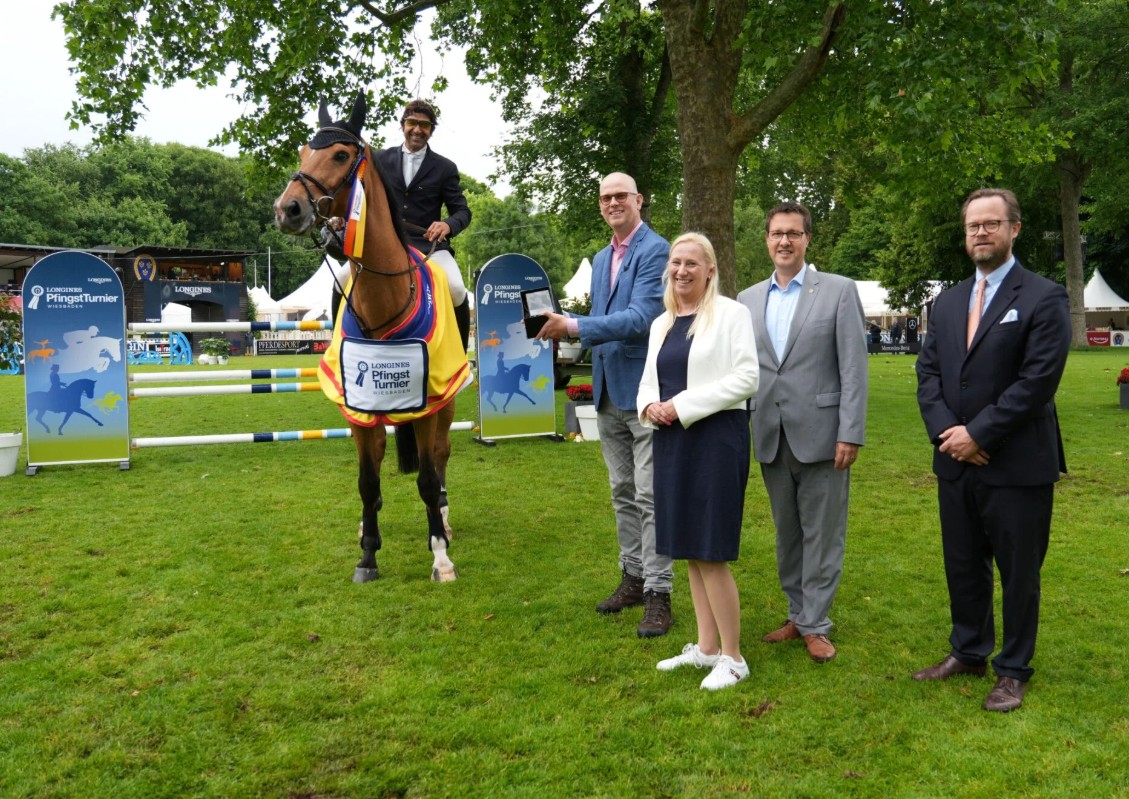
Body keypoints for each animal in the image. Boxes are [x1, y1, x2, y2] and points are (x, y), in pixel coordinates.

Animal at [273, 92, 466, 584]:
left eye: (341, 155)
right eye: (303, 152)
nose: (287, 210)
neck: (385, 300)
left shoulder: (427, 404)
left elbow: (426, 478)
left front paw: (440, 557)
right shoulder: (359, 407)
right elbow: (366, 478)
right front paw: (367, 555)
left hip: (447, 400)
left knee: (440, 458)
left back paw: (443, 517)